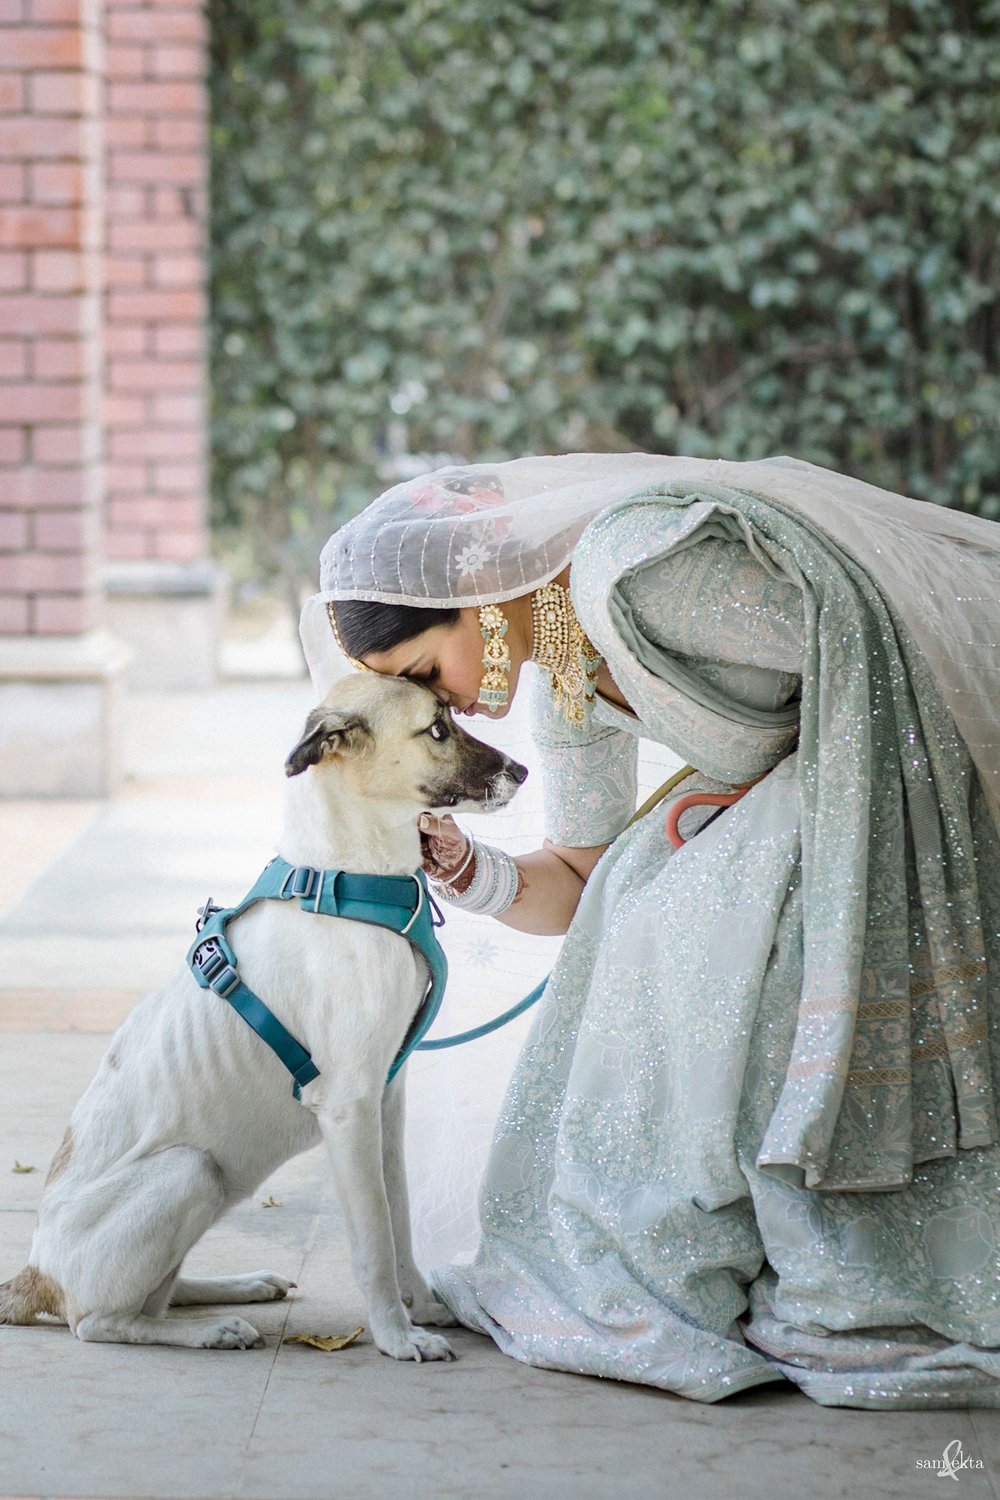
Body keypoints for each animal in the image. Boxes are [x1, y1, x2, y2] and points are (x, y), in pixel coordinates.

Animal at [0, 678, 527, 1362]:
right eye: (437, 728)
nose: (523, 770)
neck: (343, 882)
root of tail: (38, 1272)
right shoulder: (349, 1107)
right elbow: (375, 1241)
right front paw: (394, 1335)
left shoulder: (386, 1100)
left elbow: (400, 1217)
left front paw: (425, 1307)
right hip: (191, 1173)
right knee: (102, 1320)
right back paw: (208, 1330)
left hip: (212, 1190)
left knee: (159, 1294)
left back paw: (235, 1288)